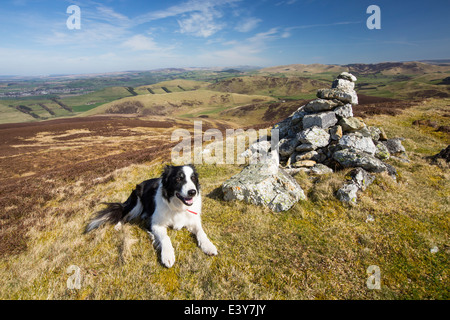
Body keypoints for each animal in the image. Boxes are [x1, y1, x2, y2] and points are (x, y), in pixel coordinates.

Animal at [85, 165, 218, 268]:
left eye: (193, 178)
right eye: (178, 178)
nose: (192, 192)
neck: (178, 206)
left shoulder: (193, 220)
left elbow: (201, 232)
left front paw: (208, 246)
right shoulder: (154, 224)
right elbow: (165, 238)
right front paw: (168, 255)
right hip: (136, 203)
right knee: (124, 214)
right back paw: (118, 225)